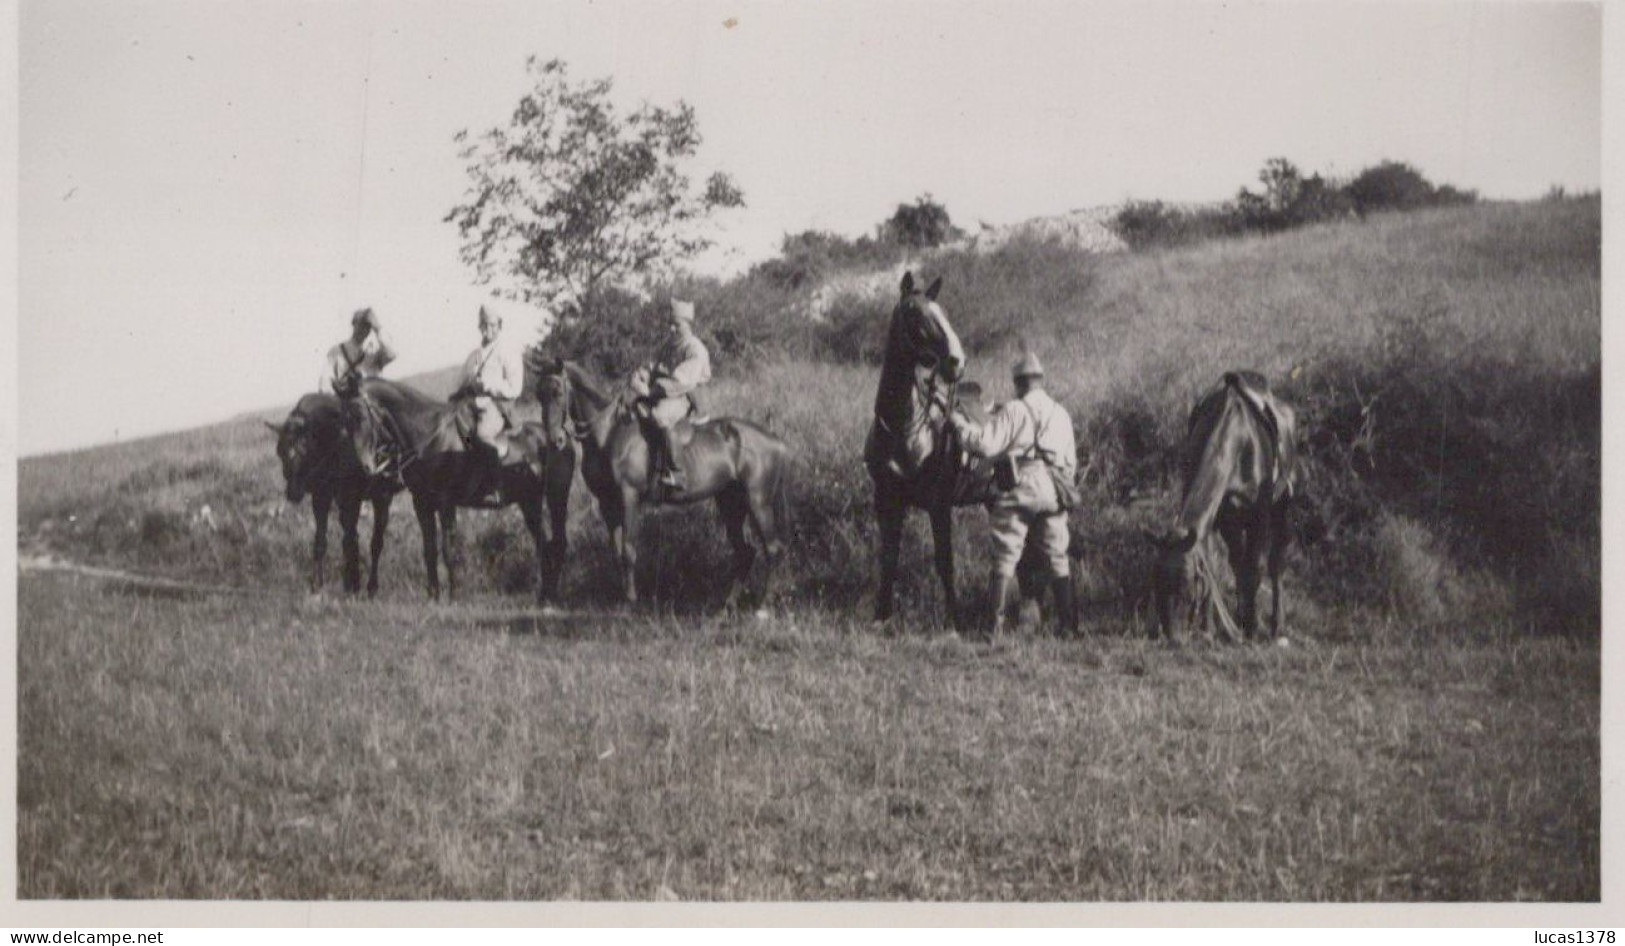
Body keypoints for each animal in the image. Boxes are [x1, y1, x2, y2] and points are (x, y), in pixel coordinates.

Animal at [264, 396, 398, 598]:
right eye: (279, 451)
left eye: (305, 448)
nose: (293, 493)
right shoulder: (321, 498)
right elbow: (321, 541)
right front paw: (318, 584)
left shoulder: (355, 498)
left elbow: (355, 540)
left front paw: (355, 584)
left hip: (380, 498)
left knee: (375, 541)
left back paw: (371, 586)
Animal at [336, 380, 578, 607]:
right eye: (345, 421)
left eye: (360, 416)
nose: (365, 467)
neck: (430, 438)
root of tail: (561, 438)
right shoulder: (421, 504)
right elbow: (430, 550)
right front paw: (433, 597)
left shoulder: (446, 503)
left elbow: (448, 549)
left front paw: (454, 596)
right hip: (530, 502)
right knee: (544, 544)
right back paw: (544, 597)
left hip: (556, 498)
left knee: (558, 543)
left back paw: (551, 598)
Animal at [529, 359, 789, 611]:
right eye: (538, 394)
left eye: (557, 392)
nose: (555, 440)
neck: (610, 434)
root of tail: (774, 438)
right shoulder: (607, 504)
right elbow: (615, 552)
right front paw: (618, 596)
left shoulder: (629, 498)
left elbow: (628, 550)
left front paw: (630, 600)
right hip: (731, 504)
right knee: (745, 552)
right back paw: (729, 604)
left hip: (758, 503)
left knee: (773, 549)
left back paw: (763, 606)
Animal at [864, 273, 1001, 630]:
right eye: (914, 314)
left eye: (944, 313)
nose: (956, 361)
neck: (905, 431)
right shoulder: (888, 502)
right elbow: (889, 558)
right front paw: (882, 616)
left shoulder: (939, 506)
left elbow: (944, 562)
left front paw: (953, 621)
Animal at [1150, 370, 1300, 643]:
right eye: (1156, 581)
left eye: (1186, 585)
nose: (1173, 637)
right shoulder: (1215, 520)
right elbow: (1217, 569)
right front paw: (1210, 629)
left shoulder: (1260, 514)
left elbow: (1256, 567)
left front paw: (1253, 627)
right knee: (1238, 561)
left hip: (1283, 506)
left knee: (1276, 563)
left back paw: (1276, 626)